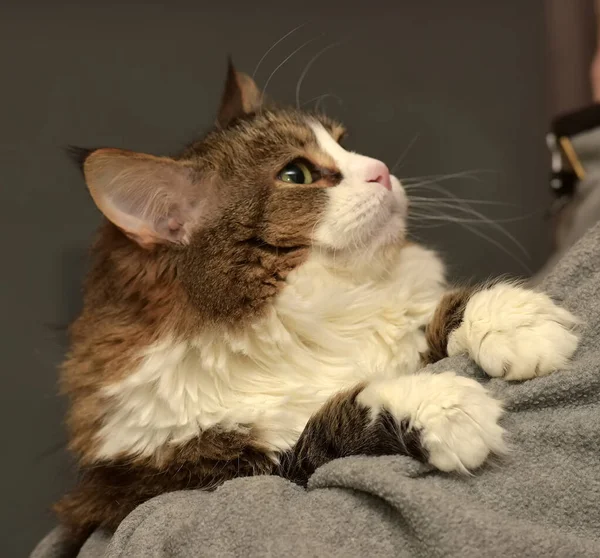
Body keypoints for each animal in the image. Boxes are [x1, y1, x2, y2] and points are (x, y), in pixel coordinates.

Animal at [54, 60, 580, 544]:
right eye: (296, 174)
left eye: (345, 142)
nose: (382, 171)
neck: (309, 322)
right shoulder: (182, 482)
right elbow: (327, 428)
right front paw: (442, 405)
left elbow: (439, 313)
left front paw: (515, 324)